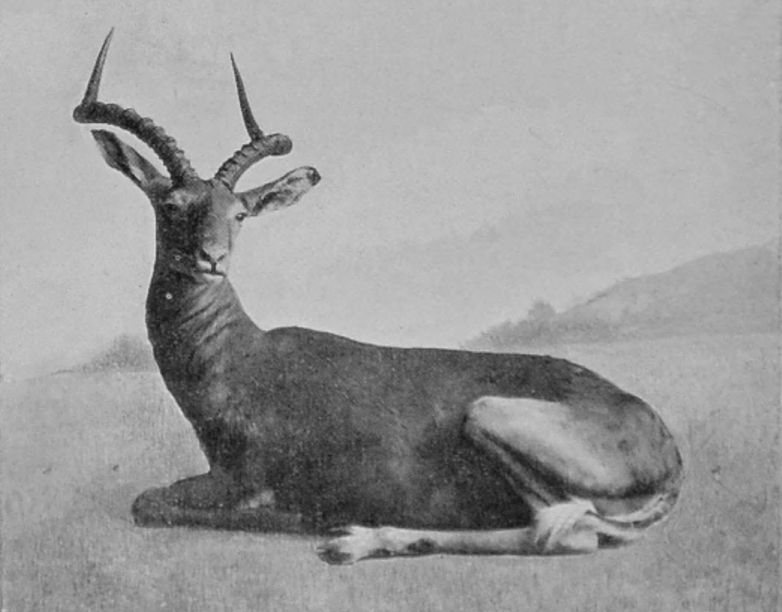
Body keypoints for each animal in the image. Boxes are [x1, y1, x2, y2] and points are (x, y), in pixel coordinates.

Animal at [74, 30, 683, 564]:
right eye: (171, 204)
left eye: (240, 213)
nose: (212, 259)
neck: (242, 358)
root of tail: (667, 450)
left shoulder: (239, 478)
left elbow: (150, 502)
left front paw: (303, 514)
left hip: (489, 416)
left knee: (564, 534)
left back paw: (352, 538)